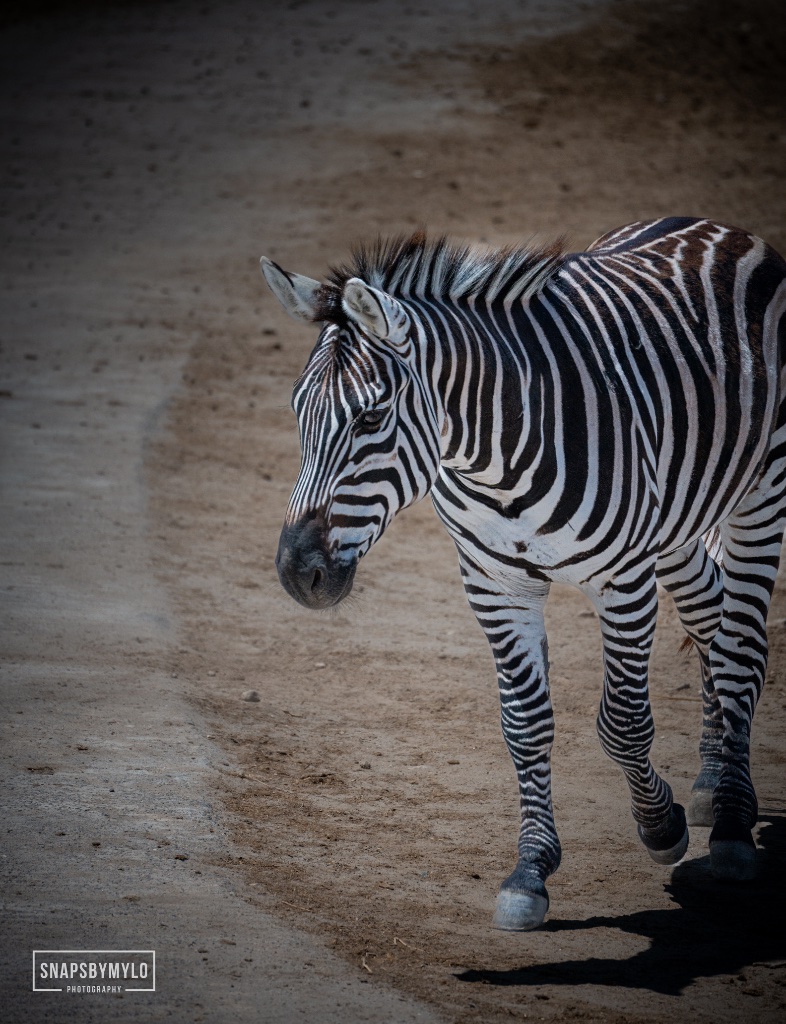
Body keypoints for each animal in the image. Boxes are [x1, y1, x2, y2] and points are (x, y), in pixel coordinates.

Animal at [261, 218, 786, 931]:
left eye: (370, 417)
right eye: (295, 410)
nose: (296, 573)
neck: (493, 455)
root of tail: (712, 228)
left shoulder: (623, 580)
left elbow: (623, 723)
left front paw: (661, 826)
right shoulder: (493, 583)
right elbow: (525, 723)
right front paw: (531, 871)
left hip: (761, 491)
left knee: (739, 648)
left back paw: (730, 824)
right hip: (679, 519)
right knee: (708, 620)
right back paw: (712, 783)